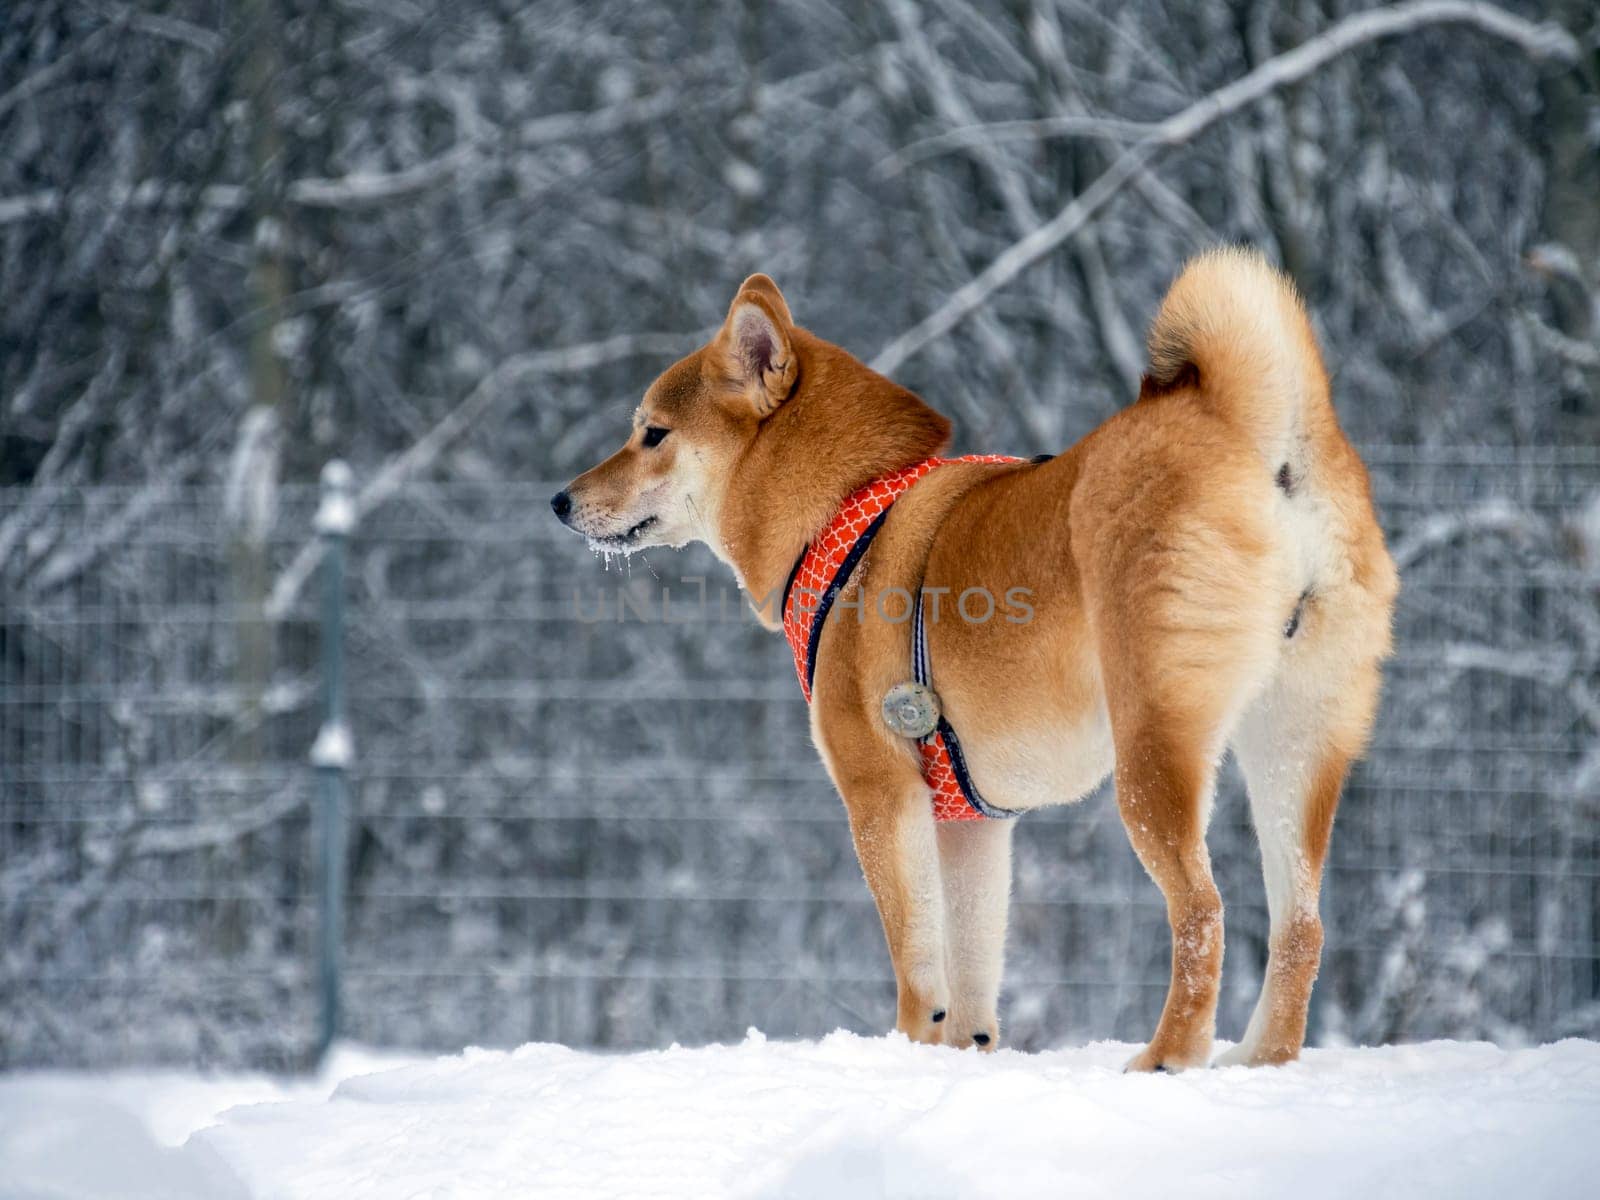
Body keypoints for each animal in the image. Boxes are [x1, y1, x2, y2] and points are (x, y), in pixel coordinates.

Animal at [553, 251, 1401, 1068]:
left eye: (652, 433)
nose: (559, 500)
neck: (843, 512)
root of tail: (1247, 432)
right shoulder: (972, 825)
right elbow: (971, 970)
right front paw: (965, 1056)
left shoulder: (881, 793)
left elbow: (918, 963)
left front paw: (909, 1048)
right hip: (1292, 748)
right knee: (1302, 928)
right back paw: (1262, 1060)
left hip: (1154, 754)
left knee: (1202, 911)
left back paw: (1169, 1058)